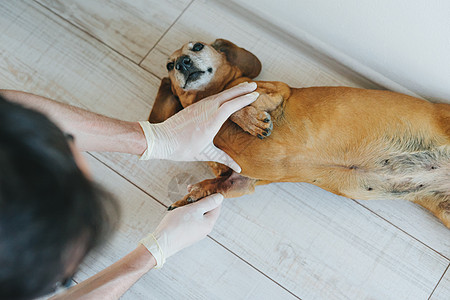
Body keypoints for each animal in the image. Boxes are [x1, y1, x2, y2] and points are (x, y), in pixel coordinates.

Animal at [150, 38, 450, 229]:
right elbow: (222, 183)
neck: (207, 95)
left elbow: (235, 105)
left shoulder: (273, 92)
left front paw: (252, 121)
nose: (183, 63)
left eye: (197, 46)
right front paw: (192, 197)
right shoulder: (241, 180)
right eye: (169, 65)